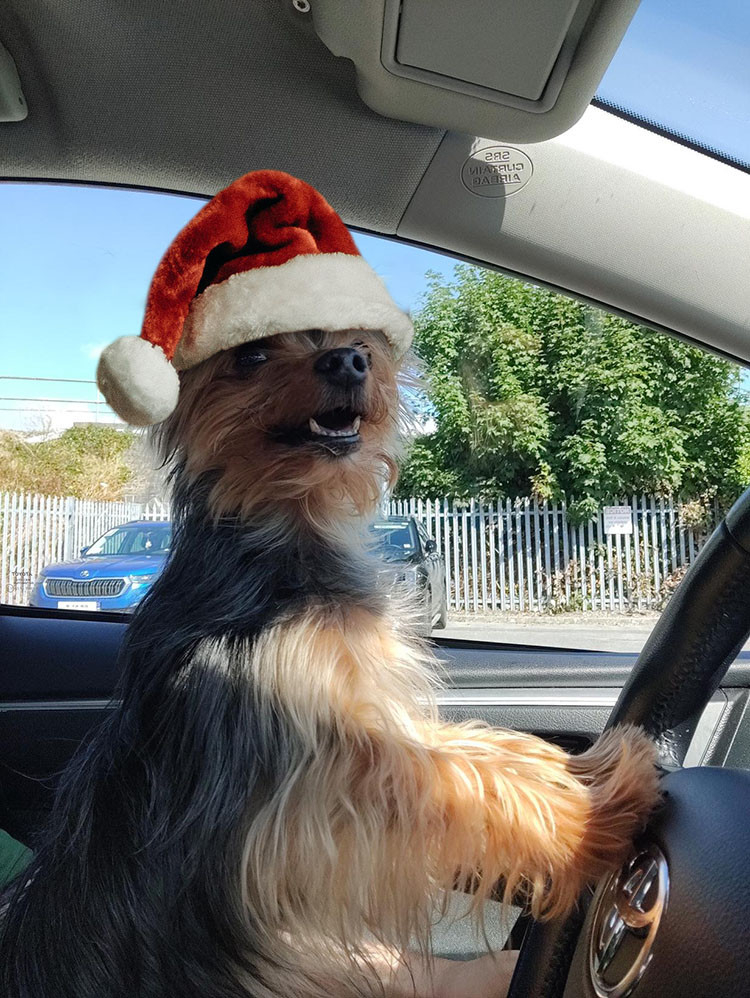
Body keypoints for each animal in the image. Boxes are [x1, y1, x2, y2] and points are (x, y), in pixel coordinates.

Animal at [0, 322, 656, 998]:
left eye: (358, 339)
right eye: (252, 354)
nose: (348, 361)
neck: (290, 530)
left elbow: (477, 748)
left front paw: (588, 772)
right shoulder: (293, 775)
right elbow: (443, 774)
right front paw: (591, 820)